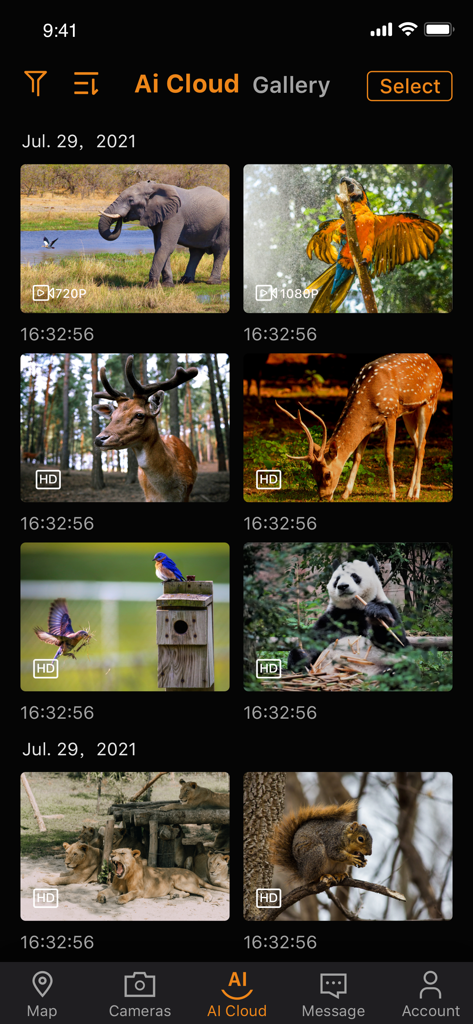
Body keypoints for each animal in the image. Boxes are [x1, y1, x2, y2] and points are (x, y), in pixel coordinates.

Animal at [94, 356, 198, 502]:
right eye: (112, 417)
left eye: (139, 415)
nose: (99, 439)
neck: (166, 493)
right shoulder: (148, 497)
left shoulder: (186, 494)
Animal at [98, 180, 229, 288]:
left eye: (131, 200)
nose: (122, 218)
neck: (155, 187)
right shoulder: (159, 215)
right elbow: (159, 245)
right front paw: (167, 285)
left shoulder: (175, 216)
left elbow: (166, 246)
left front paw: (151, 286)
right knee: (196, 251)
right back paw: (185, 281)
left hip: (225, 223)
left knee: (219, 249)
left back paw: (212, 282)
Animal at [275, 353, 442, 501]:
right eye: (313, 473)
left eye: (327, 474)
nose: (323, 496)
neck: (367, 400)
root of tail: (436, 364)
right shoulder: (369, 426)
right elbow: (357, 456)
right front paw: (345, 493)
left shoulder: (391, 414)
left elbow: (388, 454)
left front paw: (392, 494)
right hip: (409, 412)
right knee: (419, 444)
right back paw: (408, 492)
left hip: (429, 402)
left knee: (421, 446)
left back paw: (416, 493)